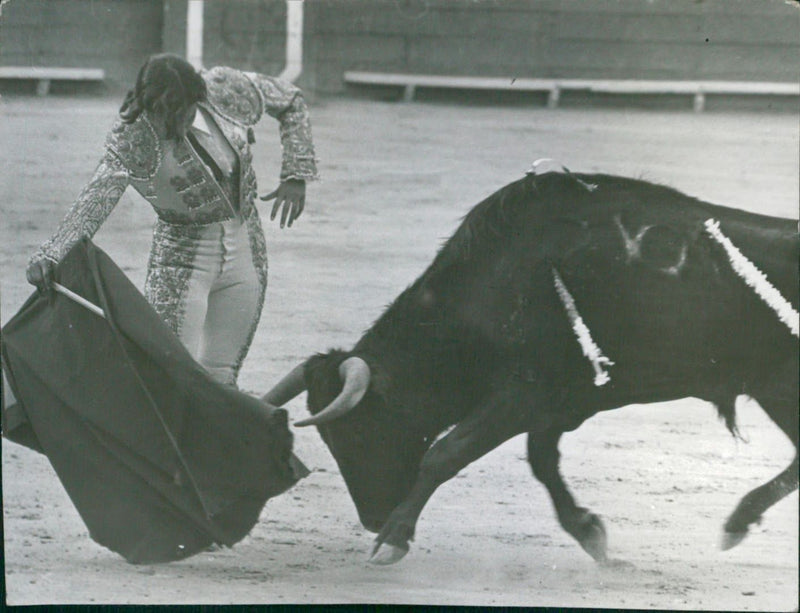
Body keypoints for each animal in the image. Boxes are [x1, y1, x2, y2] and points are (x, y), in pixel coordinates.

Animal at [260, 167, 792, 564]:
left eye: (356, 430)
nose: (373, 517)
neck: (494, 286)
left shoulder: (522, 394)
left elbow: (447, 452)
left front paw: (392, 540)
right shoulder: (553, 405)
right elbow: (542, 463)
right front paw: (590, 534)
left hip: (783, 389)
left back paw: (738, 522)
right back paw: (738, 521)